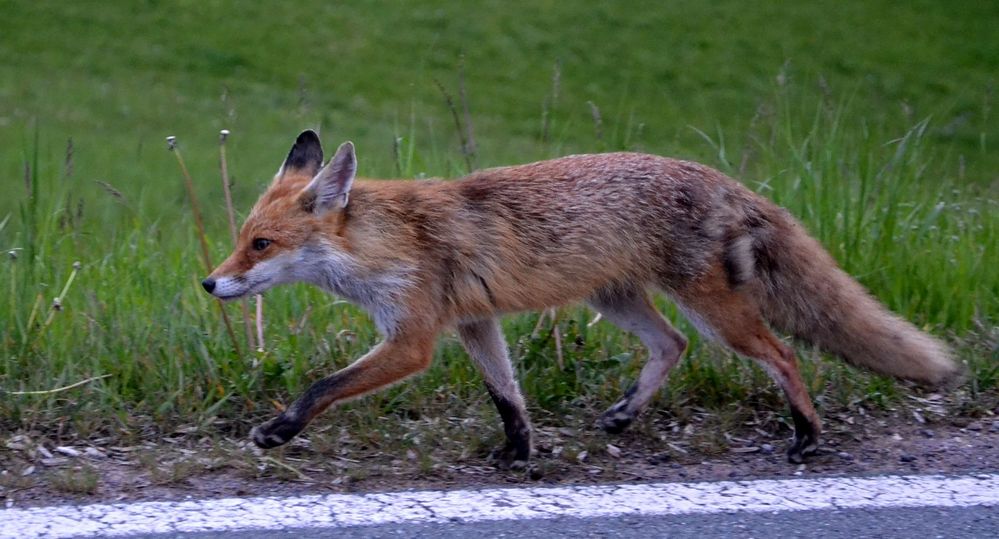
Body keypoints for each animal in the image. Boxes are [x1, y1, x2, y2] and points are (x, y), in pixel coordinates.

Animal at [201, 132, 960, 468]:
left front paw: (278, 431)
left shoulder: (413, 338)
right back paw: (625, 414)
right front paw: (518, 453)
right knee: (670, 346)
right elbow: (508, 397)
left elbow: (323, 385)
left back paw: (806, 434)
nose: (209, 284)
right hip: (619, 300)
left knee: (781, 355)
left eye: (261, 244)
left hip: (716, 312)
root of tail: (719, 177)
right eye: (241, 241)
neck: (388, 243)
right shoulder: (474, 323)